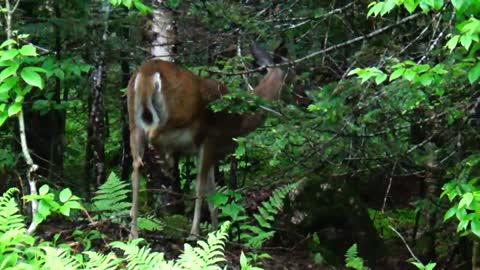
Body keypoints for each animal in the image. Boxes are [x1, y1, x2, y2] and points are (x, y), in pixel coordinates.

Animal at [126, 43, 284, 238]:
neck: (240, 120)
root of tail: (147, 72)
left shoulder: (205, 151)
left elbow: (212, 193)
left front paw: (216, 232)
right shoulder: (210, 140)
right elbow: (201, 188)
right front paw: (195, 233)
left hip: (133, 123)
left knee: (135, 168)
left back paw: (133, 232)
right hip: (178, 113)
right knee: (154, 135)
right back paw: (164, 163)